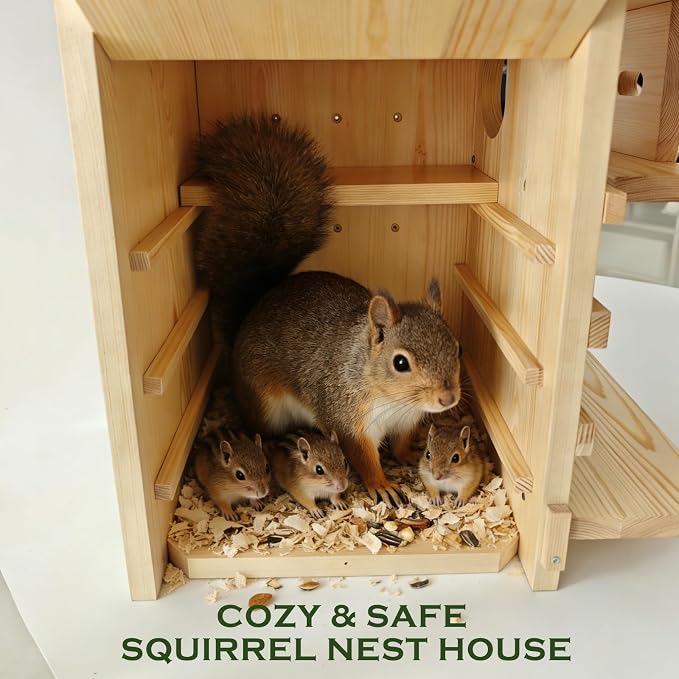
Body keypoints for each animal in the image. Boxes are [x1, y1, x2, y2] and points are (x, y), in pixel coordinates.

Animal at [195, 115, 462, 507]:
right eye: (400, 363)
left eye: (458, 348)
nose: (447, 399)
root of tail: (249, 314)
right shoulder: (347, 419)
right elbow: (363, 457)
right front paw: (382, 485)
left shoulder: (407, 420)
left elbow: (400, 442)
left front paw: (409, 454)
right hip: (265, 404)